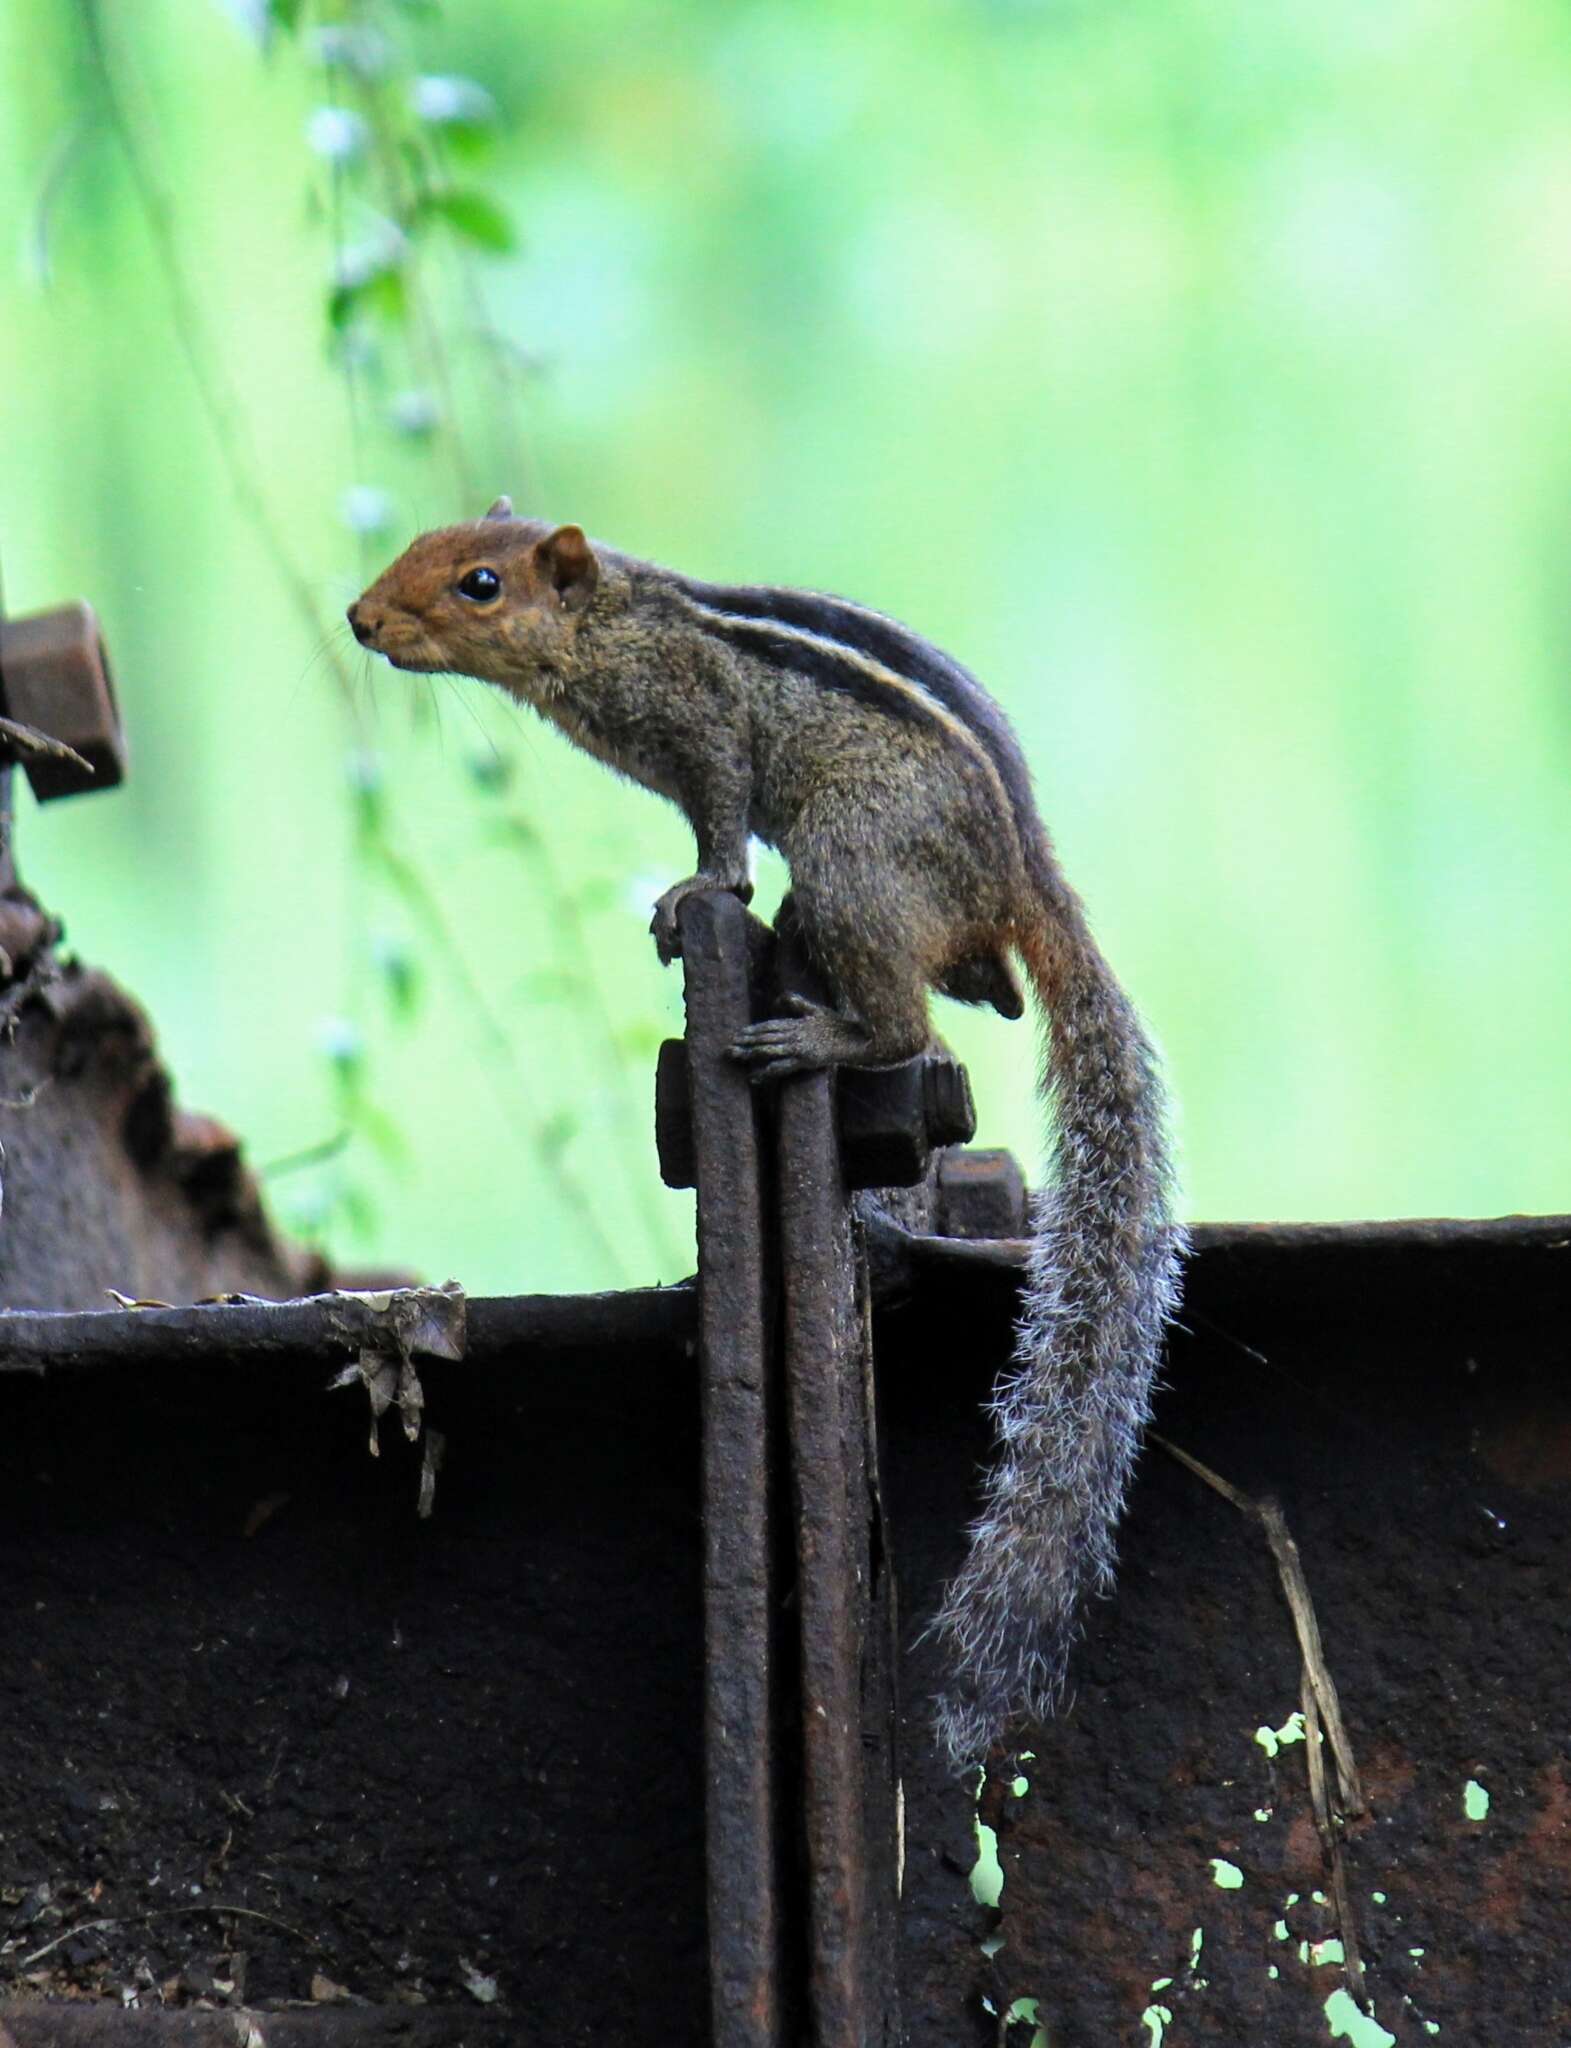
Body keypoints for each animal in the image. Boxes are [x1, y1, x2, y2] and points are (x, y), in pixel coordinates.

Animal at [350, 503, 1187, 1769]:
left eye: (479, 583)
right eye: (416, 545)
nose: (360, 618)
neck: (615, 625)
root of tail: (1021, 875)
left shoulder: (701, 730)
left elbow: (719, 828)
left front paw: (692, 892)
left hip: (851, 861)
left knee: (904, 1022)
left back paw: (820, 1033)